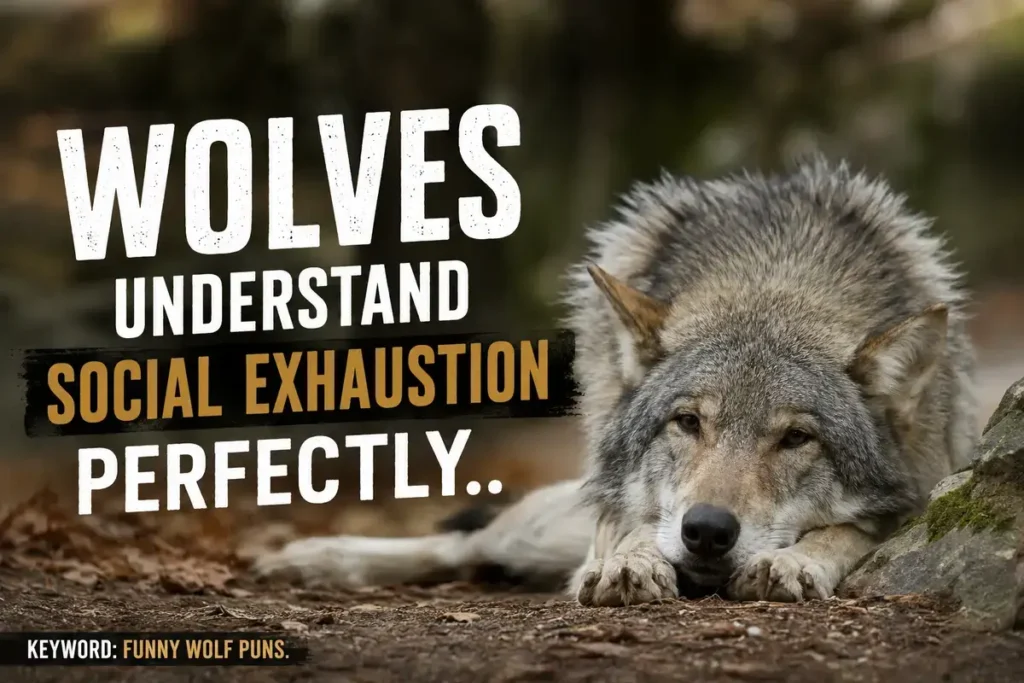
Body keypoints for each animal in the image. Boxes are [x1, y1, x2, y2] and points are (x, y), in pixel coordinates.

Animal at [254, 158, 978, 605]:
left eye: (797, 439)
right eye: (687, 422)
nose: (706, 531)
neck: (775, 282)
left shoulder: (920, 496)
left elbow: (848, 531)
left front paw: (794, 561)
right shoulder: (611, 495)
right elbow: (626, 526)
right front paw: (629, 563)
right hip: (537, 528)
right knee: (468, 539)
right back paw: (306, 560)